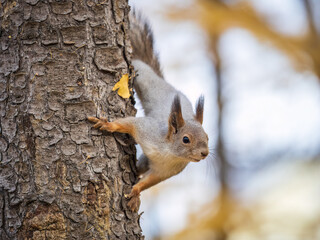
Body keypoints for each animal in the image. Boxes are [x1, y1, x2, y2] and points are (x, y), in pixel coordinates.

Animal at [87, 11, 209, 211]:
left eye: (207, 137)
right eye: (186, 139)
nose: (205, 153)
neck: (168, 153)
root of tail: (165, 82)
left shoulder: (165, 171)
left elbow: (149, 181)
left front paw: (136, 192)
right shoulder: (147, 129)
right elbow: (129, 123)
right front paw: (108, 125)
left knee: (141, 168)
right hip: (145, 76)